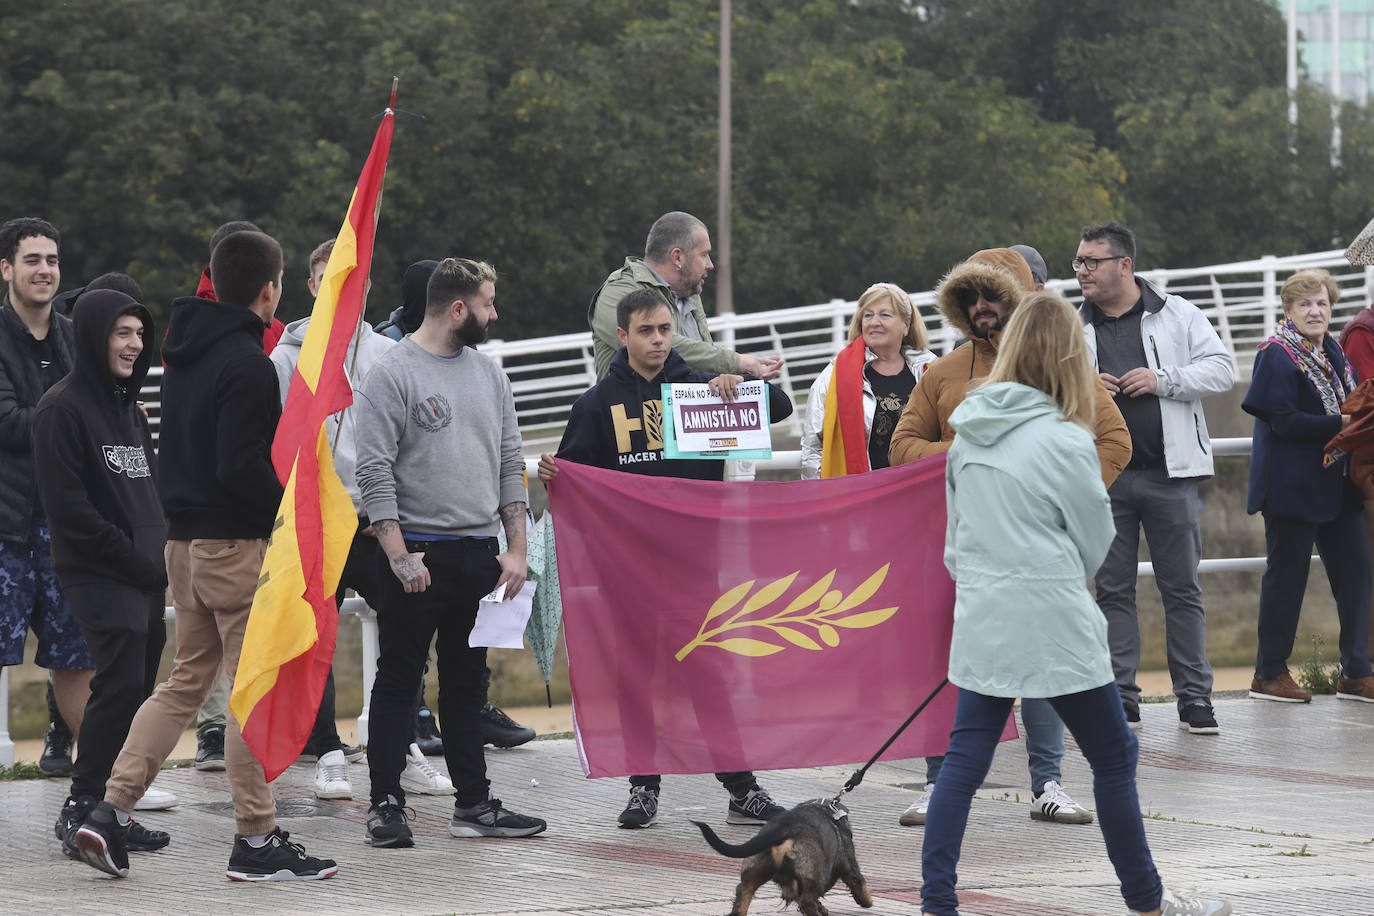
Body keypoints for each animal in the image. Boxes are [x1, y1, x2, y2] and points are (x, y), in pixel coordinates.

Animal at [692, 796, 873, 916]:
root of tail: (783, 828)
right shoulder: (848, 866)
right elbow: (859, 882)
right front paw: (867, 901)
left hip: (754, 872)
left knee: (742, 896)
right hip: (811, 876)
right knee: (807, 902)